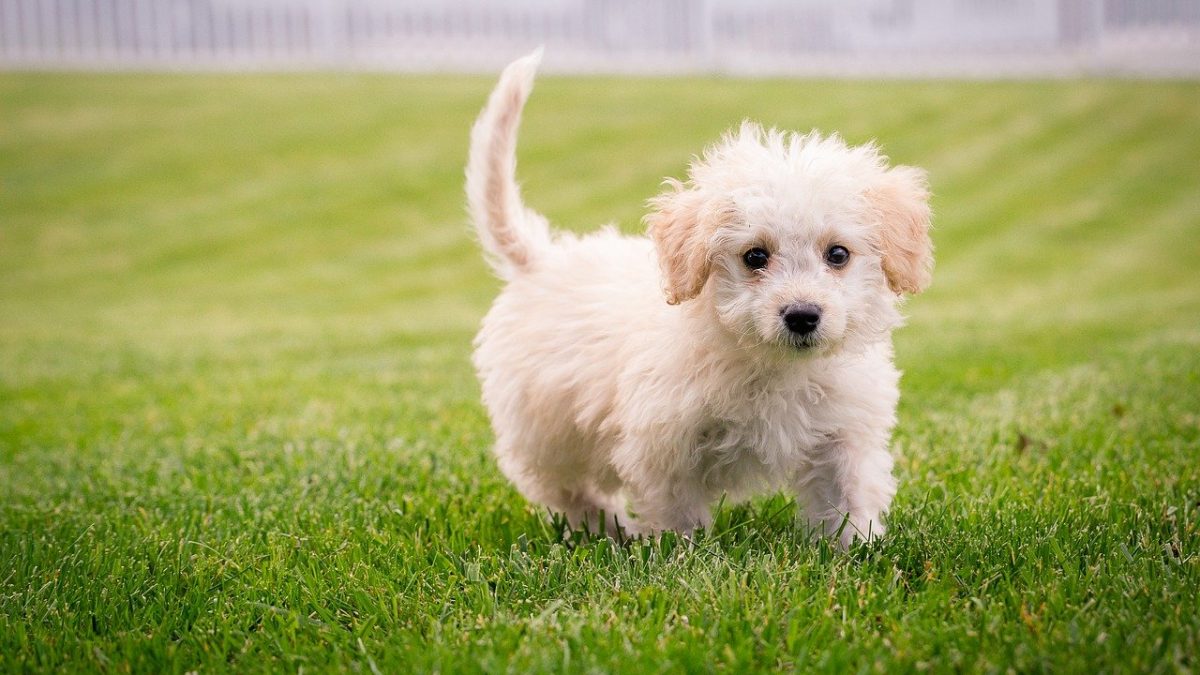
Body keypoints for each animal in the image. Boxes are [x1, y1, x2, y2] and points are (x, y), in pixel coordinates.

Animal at [463, 51, 931, 547]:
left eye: (838, 254)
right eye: (755, 256)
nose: (802, 316)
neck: (771, 365)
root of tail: (542, 258)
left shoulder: (844, 435)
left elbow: (848, 499)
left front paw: (856, 549)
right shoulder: (663, 445)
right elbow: (678, 514)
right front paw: (682, 554)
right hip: (546, 432)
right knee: (568, 490)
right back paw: (611, 530)